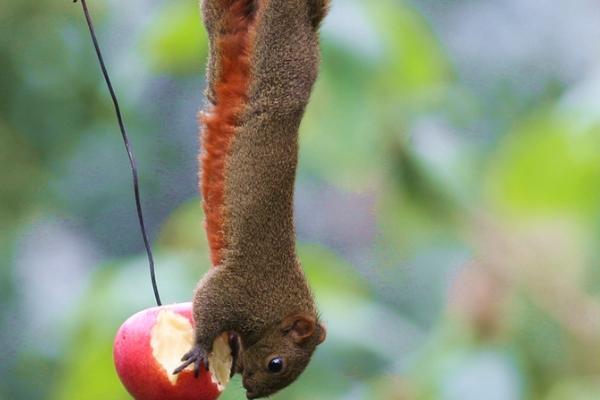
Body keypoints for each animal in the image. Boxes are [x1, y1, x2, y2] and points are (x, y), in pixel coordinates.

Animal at [171, 0, 330, 396]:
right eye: (277, 364)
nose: (252, 394)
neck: (276, 306)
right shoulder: (239, 289)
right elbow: (209, 301)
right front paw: (200, 349)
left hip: (239, 37)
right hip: (280, 55)